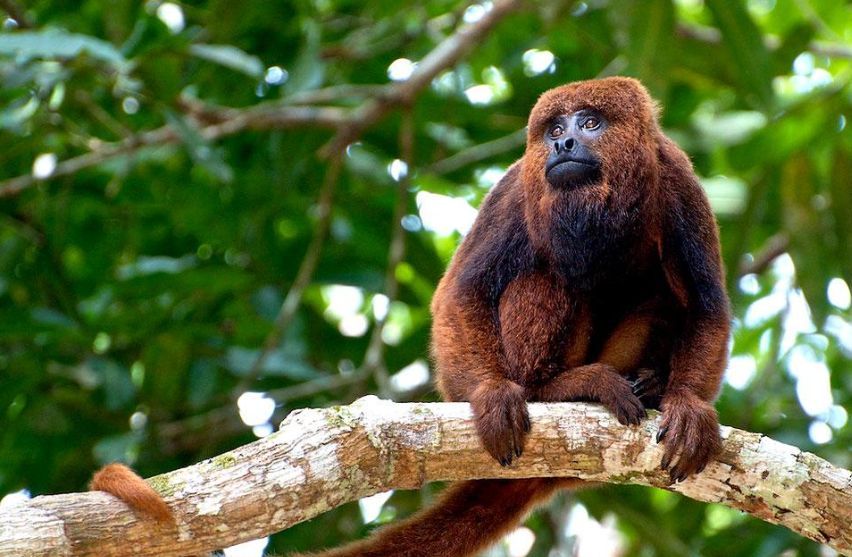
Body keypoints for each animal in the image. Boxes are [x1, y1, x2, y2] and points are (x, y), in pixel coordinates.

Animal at [88, 77, 730, 557]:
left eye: (590, 123)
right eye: (554, 128)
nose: (564, 145)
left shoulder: (678, 179)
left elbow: (706, 304)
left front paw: (688, 407)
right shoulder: (514, 186)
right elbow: (461, 292)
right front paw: (493, 397)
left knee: (662, 293)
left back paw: (645, 384)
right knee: (543, 276)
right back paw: (557, 387)